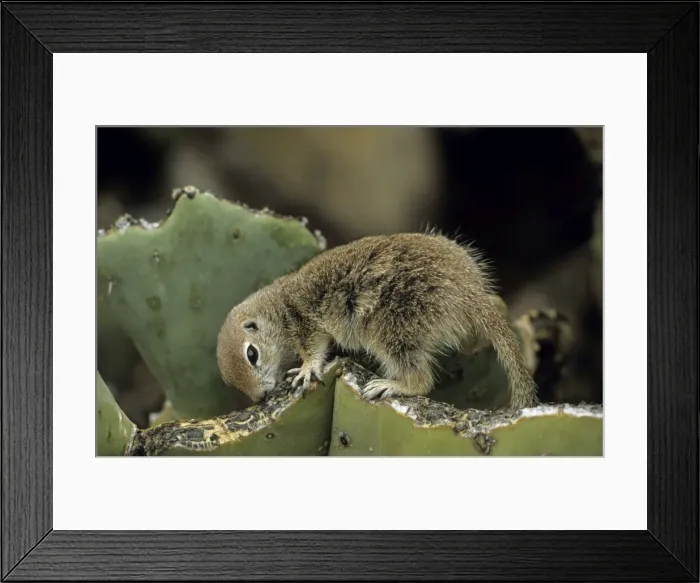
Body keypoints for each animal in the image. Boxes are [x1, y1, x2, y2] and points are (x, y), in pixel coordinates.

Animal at [216, 232, 539, 409]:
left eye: (252, 354)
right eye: (229, 381)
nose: (261, 396)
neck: (279, 305)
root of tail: (470, 292)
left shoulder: (305, 322)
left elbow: (315, 349)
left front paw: (306, 369)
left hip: (393, 330)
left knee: (422, 380)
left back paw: (394, 385)